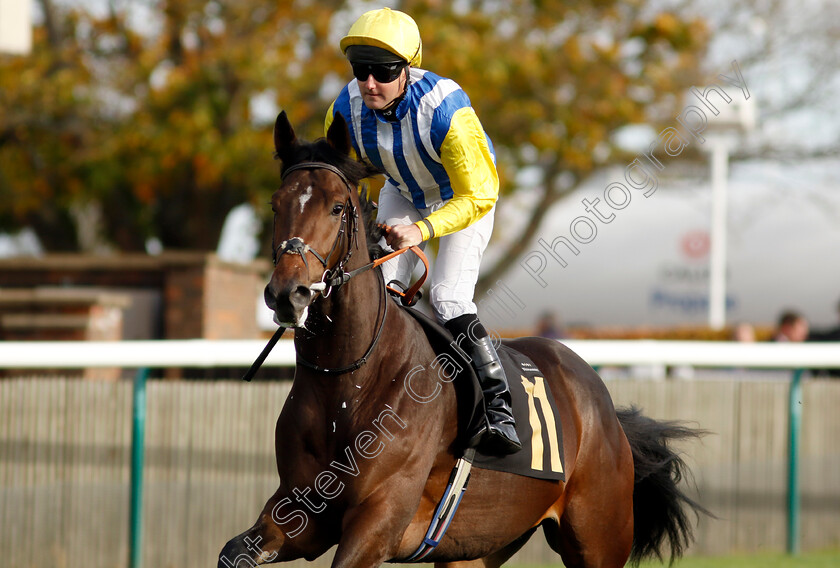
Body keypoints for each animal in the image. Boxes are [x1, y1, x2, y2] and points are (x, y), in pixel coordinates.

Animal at [218, 111, 708, 568]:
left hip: (598, 538)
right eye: (276, 204)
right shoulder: (300, 512)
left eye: (337, 207)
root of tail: (603, 407)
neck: (347, 381)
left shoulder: (379, 517)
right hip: (475, 547)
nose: (289, 293)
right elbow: (234, 551)